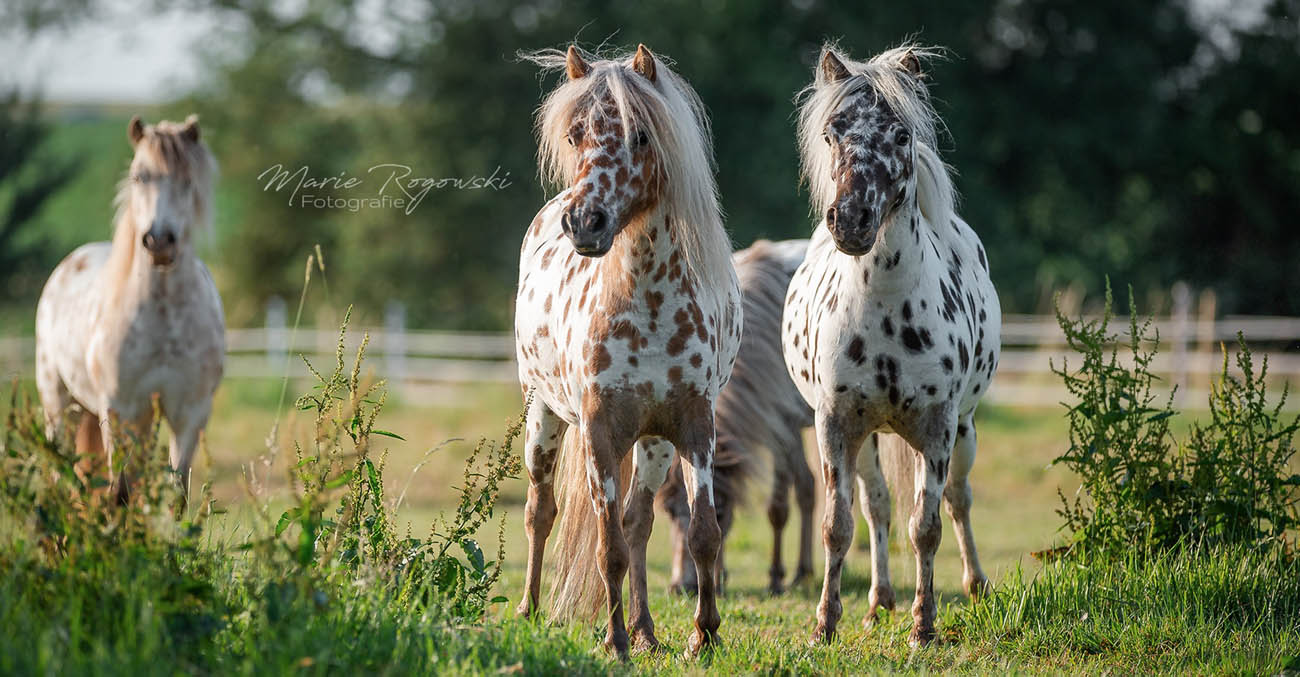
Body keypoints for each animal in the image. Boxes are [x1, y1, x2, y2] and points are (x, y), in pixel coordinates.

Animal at [514, 44, 743, 657]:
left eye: (642, 135)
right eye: (574, 135)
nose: (584, 222)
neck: (650, 304)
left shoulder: (693, 426)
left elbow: (702, 534)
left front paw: (703, 635)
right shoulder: (599, 430)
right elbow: (607, 547)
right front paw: (612, 640)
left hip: (653, 442)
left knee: (639, 524)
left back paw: (646, 629)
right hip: (542, 415)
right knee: (540, 512)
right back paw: (529, 609)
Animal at [774, 43, 998, 644]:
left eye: (901, 135)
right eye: (832, 133)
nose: (851, 221)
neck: (889, 312)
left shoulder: (938, 428)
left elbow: (927, 527)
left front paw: (925, 627)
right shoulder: (834, 426)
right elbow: (839, 525)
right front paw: (825, 625)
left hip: (963, 433)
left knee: (959, 501)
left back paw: (975, 585)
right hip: (870, 437)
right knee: (876, 507)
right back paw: (879, 601)